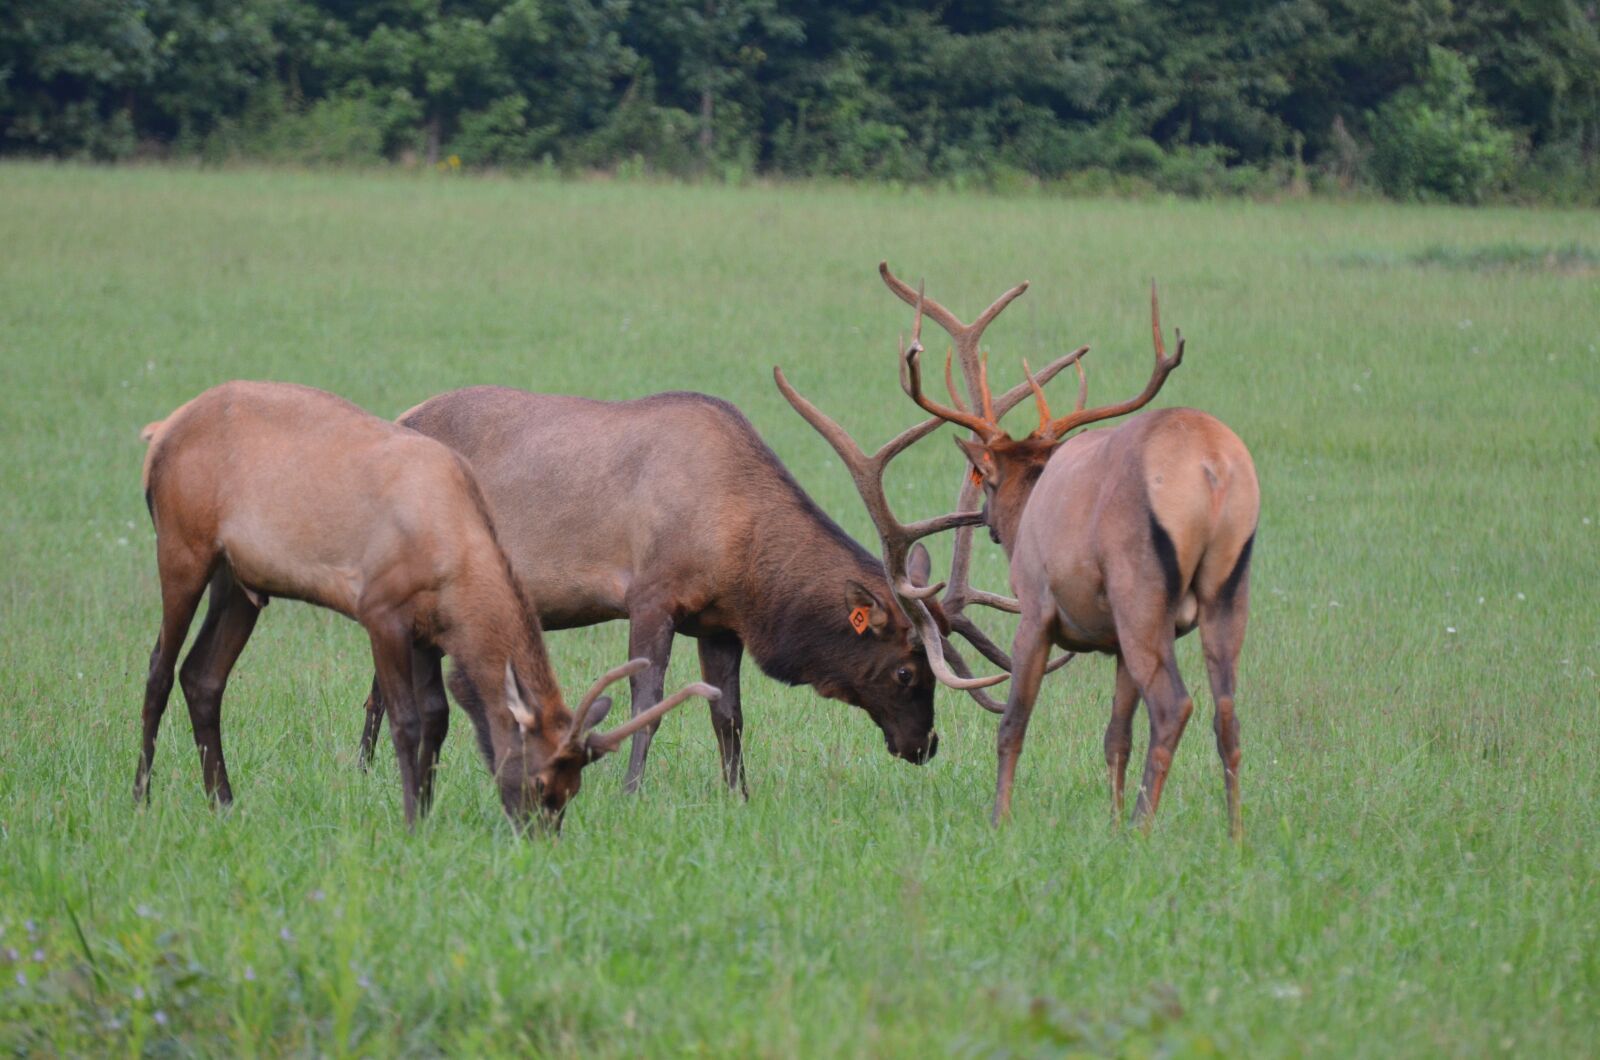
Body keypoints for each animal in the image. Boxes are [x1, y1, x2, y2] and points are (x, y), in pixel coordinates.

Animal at [135, 381, 717, 831]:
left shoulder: (428, 630)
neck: (452, 556)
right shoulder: (381, 611)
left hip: (241, 581)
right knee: (160, 667)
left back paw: (224, 803)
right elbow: (406, 720)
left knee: (203, 676)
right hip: (182, 547)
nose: (538, 836)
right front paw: (412, 819)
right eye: (540, 779)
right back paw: (141, 795)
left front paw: (430, 809)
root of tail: (159, 431)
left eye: (574, 789)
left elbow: (439, 717)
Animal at [355, 384, 1056, 794]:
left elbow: (729, 713)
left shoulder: (718, 621)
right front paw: (631, 789)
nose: (925, 746)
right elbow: (649, 696)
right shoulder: (651, 593)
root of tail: (400, 414)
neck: (739, 550)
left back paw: (366, 769)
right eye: (909, 673)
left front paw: (737, 795)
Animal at [876, 263, 1259, 836]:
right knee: (1227, 714)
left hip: (1141, 593)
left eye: (985, 480)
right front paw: (1111, 822)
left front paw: (1000, 819)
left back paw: (1144, 829)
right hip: (1228, 588)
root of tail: (1211, 468)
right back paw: (1233, 836)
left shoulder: (1036, 607)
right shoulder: (1115, 643)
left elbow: (1013, 723)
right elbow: (1115, 736)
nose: (988, 523)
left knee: (1174, 706)